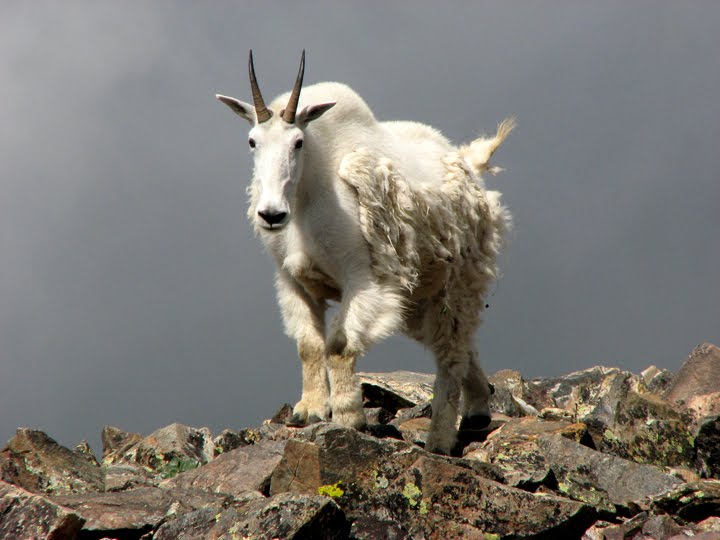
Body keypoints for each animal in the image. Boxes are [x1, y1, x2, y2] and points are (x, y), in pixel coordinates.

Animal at [214, 51, 512, 456]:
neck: (307, 199)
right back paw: (479, 410)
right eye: (251, 141)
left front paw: (346, 416)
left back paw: (439, 438)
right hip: (420, 296)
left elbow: (339, 346)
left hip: (459, 281)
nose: (272, 214)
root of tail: (469, 163)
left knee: (450, 352)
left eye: (298, 142)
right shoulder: (292, 280)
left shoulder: (364, 278)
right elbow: (309, 345)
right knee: (462, 345)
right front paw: (308, 410)